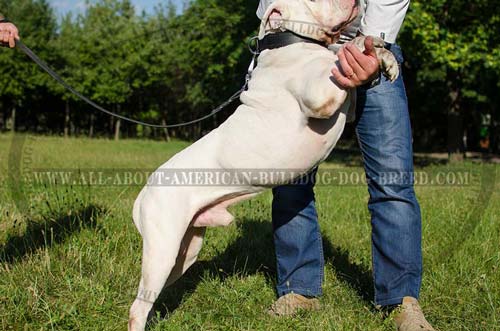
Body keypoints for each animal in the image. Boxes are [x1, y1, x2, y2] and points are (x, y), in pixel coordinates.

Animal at [129, 1, 398, 330]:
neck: (294, 41)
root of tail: (145, 192)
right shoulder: (321, 97)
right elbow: (340, 57)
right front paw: (362, 46)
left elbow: (348, 61)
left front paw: (383, 56)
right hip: (163, 249)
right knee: (137, 306)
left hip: (185, 252)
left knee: (150, 297)